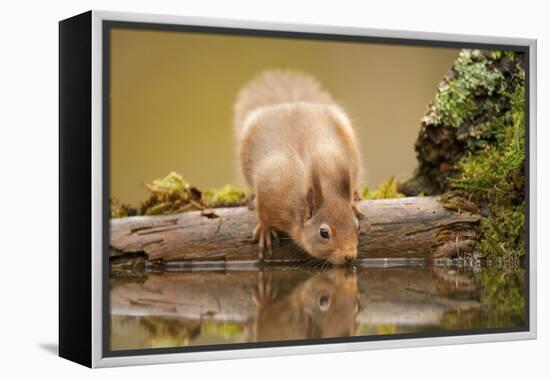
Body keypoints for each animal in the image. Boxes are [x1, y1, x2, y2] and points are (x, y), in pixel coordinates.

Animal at [234, 71, 366, 266]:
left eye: (357, 226)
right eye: (324, 233)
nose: (349, 256)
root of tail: (291, 103)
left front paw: (352, 201)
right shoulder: (271, 186)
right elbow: (262, 210)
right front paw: (265, 229)